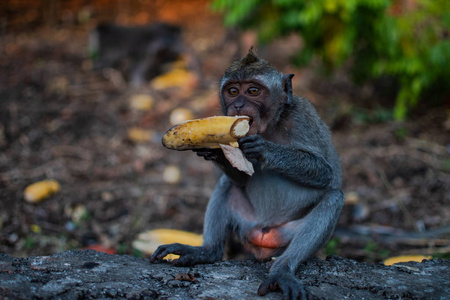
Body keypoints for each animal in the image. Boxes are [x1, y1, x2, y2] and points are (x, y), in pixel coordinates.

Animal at [152, 48, 344, 298]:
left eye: (253, 91)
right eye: (233, 91)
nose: (239, 105)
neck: (270, 126)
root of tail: (263, 239)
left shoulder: (302, 118)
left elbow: (325, 173)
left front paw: (264, 150)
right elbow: (240, 178)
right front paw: (218, 153)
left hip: (286, 235)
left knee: (333, 197)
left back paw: (282, 269)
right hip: (246, 224)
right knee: (227, 185)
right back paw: (207, 251)